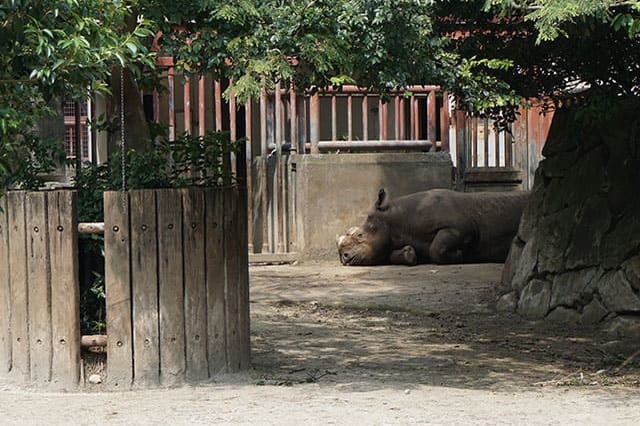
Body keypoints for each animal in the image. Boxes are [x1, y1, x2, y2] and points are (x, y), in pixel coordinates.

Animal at [338, 188, 528, 264]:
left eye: (360, 235)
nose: (344, 257)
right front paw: (409, 255)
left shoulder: (460, 227)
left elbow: (436, 248)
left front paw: (459, 256)